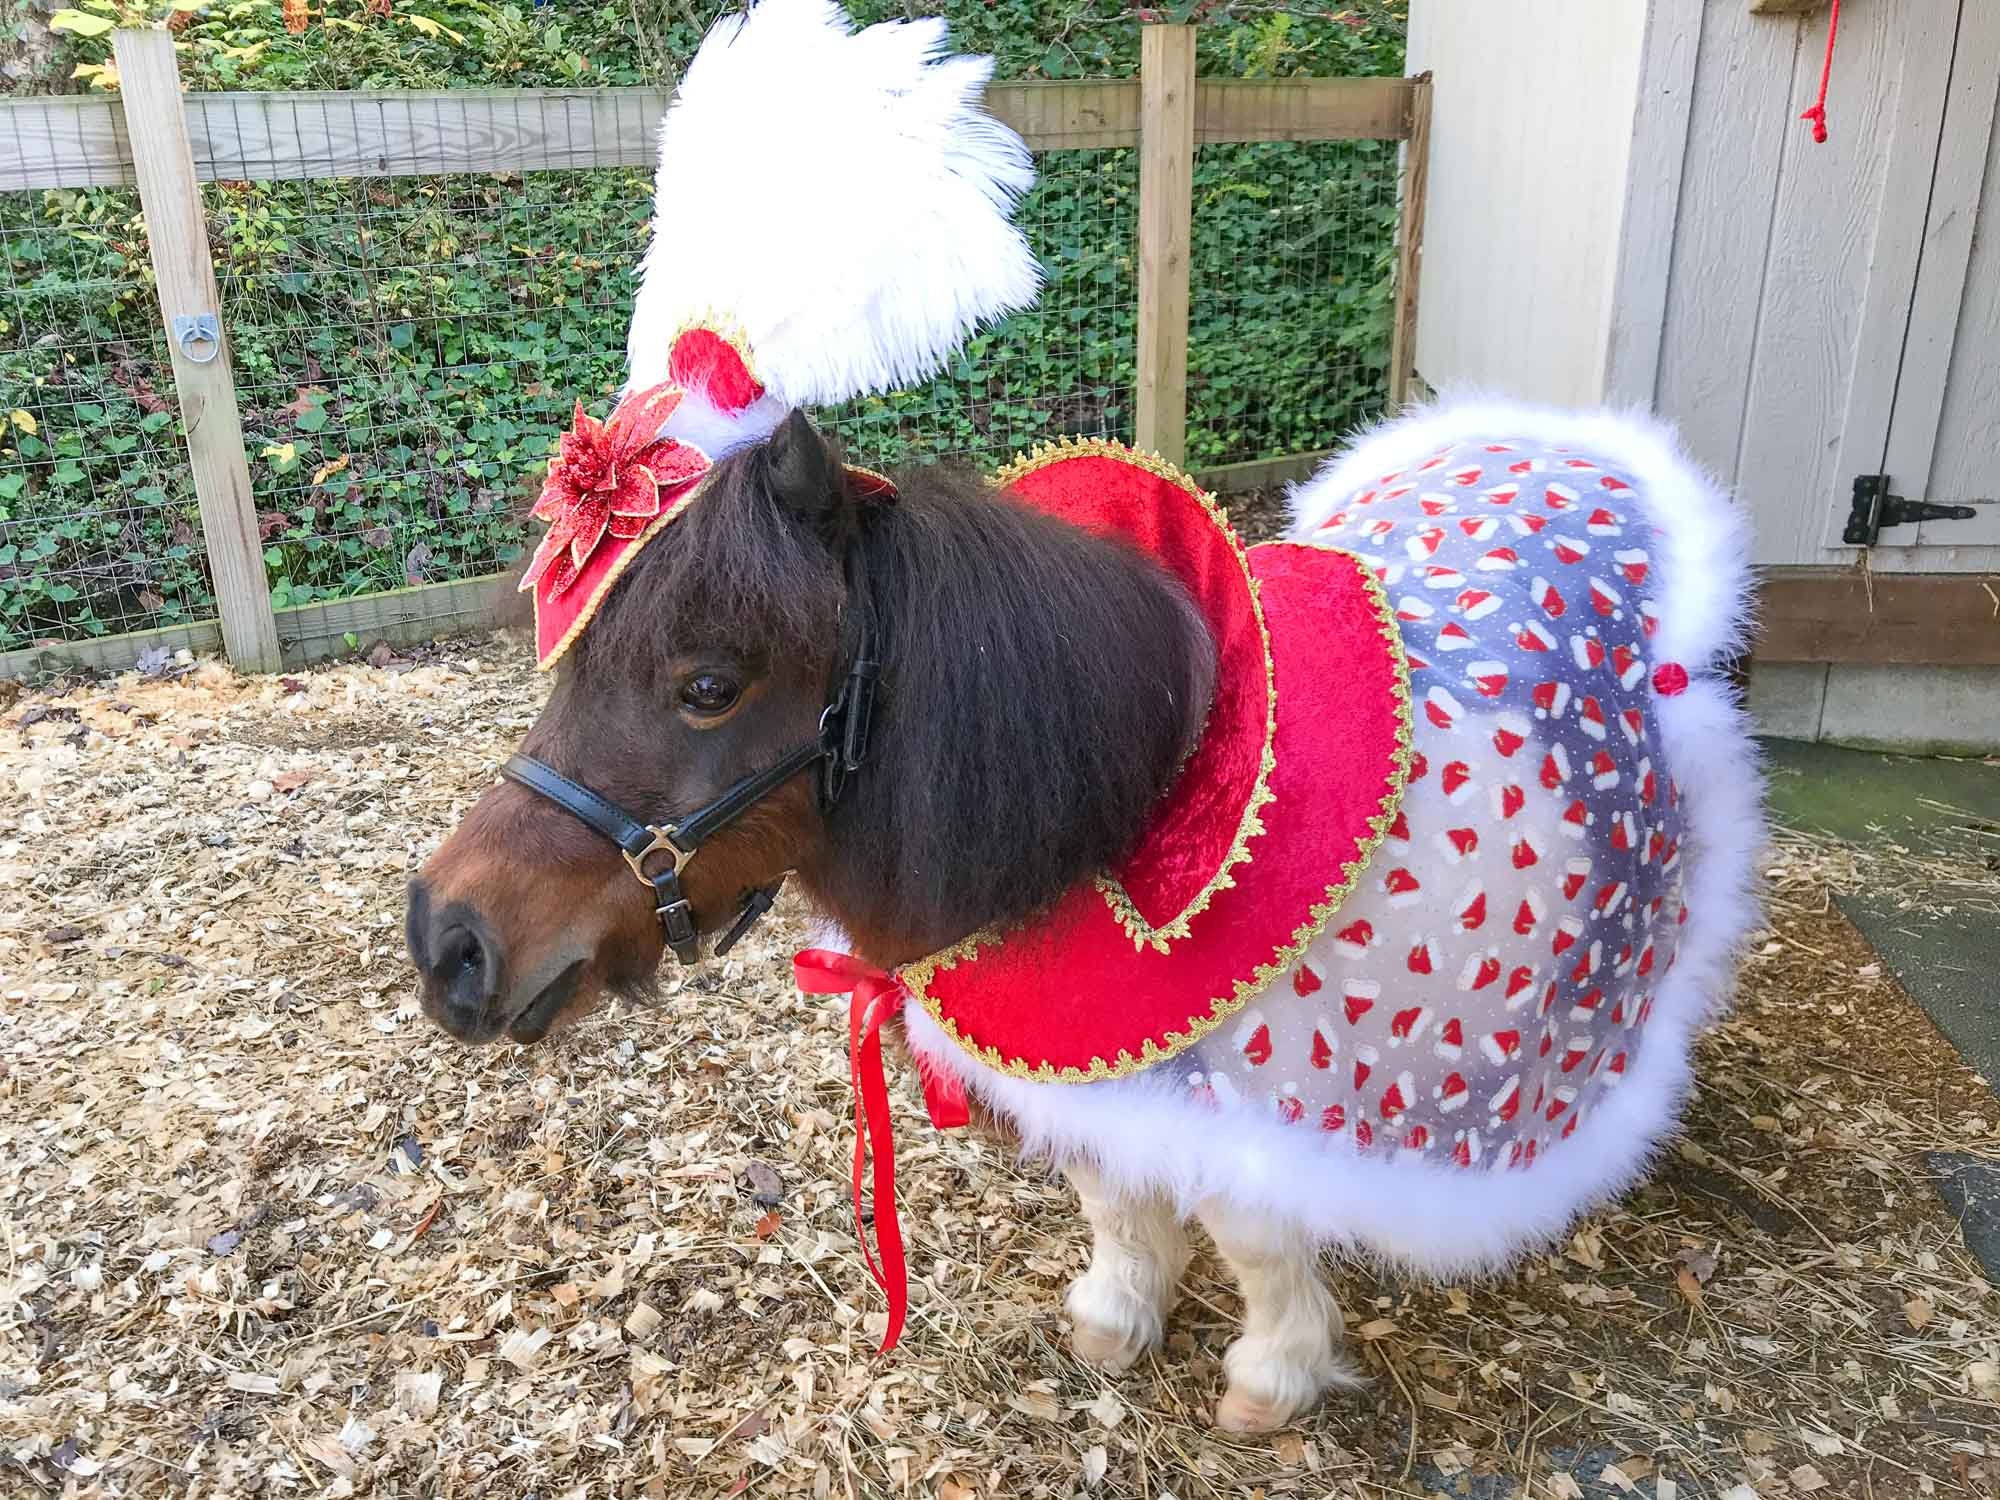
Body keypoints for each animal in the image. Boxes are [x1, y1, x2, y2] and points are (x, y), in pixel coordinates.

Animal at [408, 396, 1761, 1431]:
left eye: (705, 685)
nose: (445, 941)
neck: (1146, 795)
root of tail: (1563, 445)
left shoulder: (1260, 1092)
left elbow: (1247, 1226)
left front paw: (1271, 1377)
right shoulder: (1105, 1067)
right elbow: (1113, 1189)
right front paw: (1117, 1315)